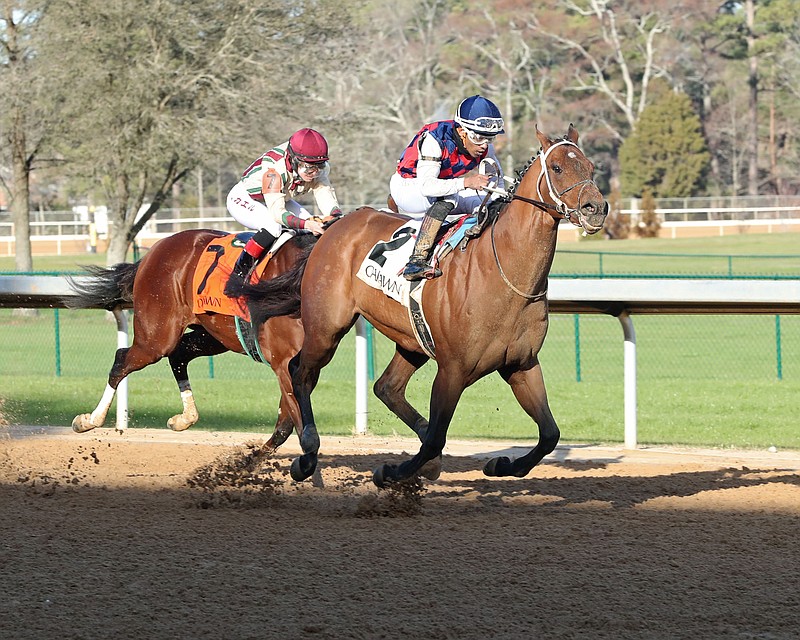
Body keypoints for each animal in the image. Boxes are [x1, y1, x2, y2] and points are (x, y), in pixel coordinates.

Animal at [65, 230, 316, 456]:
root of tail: (153, 251)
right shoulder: (283, 362)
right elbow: (298, 423)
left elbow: (287, 422)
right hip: (156, 337)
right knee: (122, 360)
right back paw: (90, 420)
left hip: (213, 336)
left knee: (178, 355)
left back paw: (185, 418)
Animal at [244, 125, 608, 484]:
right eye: (557, 167)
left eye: (590, 167)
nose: (596, 208)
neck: (503, 272)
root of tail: (334, 225)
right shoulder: (453, 370)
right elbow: (435, 438)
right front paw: (391, 471)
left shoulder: (521, 364)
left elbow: (550, 434)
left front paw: (501, 464)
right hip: (326, 326)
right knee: (299, 372)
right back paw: (307, 454)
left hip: (410, 339)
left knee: (387, 387)